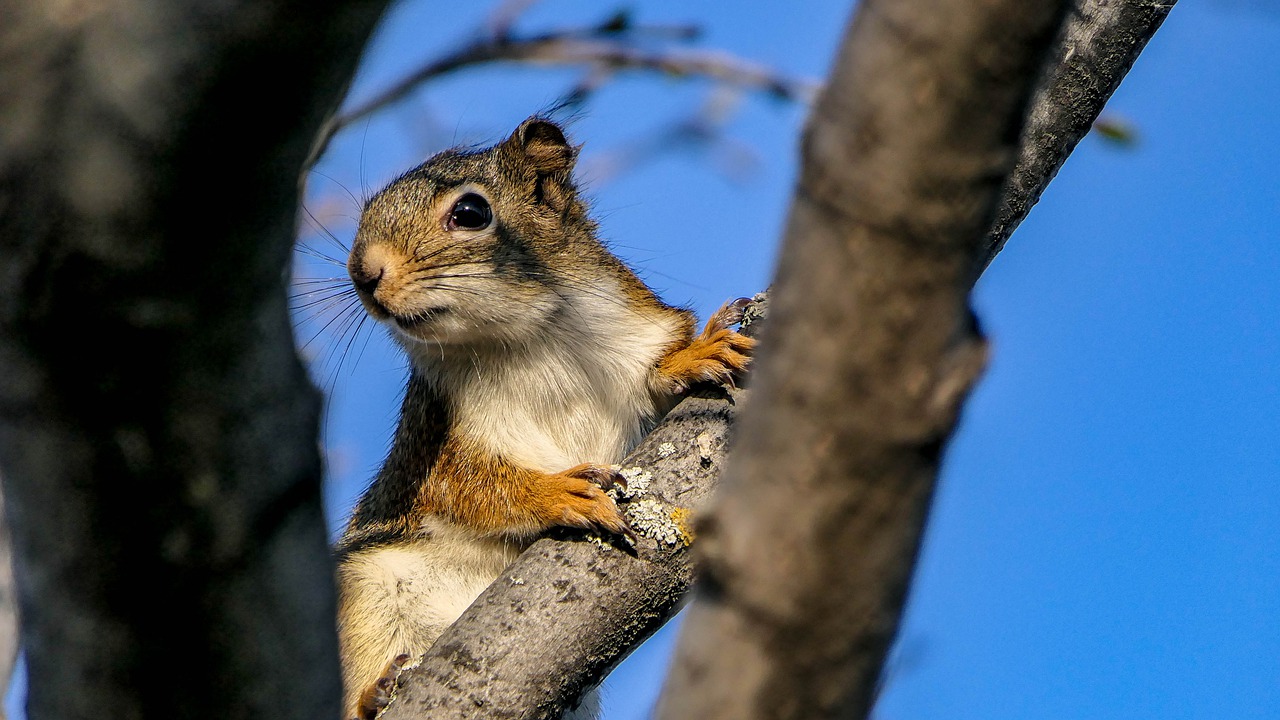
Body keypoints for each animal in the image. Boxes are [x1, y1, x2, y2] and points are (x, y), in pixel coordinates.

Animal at [335, 117, 752, 717]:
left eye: (470, 213)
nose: (362, 273)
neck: (528, 340)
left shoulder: (633, 334)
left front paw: (695, 355)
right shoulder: (435, 435)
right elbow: (466, 485)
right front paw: (555, 493)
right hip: (362, 596)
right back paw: (375, 694)